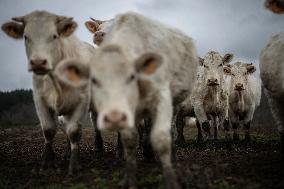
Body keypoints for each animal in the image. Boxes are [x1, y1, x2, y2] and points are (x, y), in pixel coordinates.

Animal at [1, 10, 95, 174]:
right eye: (26, 36)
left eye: (54, 36)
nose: (38, 62)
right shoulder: (39, 100)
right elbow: (49, 130)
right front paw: (47, 163)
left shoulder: (82, 102)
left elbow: (74, 132)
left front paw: (74, 165)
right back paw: (66, 153)